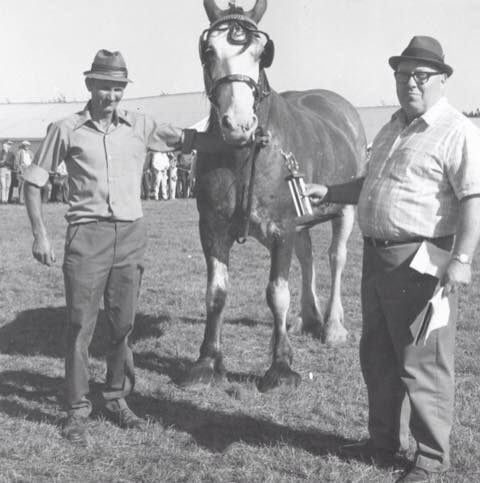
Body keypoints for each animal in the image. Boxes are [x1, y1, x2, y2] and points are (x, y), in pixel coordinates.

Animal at [183, 0, 367, 392]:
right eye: (209, 51)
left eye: (261, 52)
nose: (238, 123)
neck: (245, 154)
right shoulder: (212, 230)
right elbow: (216, 293)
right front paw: (207, 360)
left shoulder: (283, 228)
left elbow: (277, 293)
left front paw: (281, 365)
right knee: (308, 254)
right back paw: (309, 317)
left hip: (345, 209)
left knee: (336, 257)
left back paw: (332, 325)